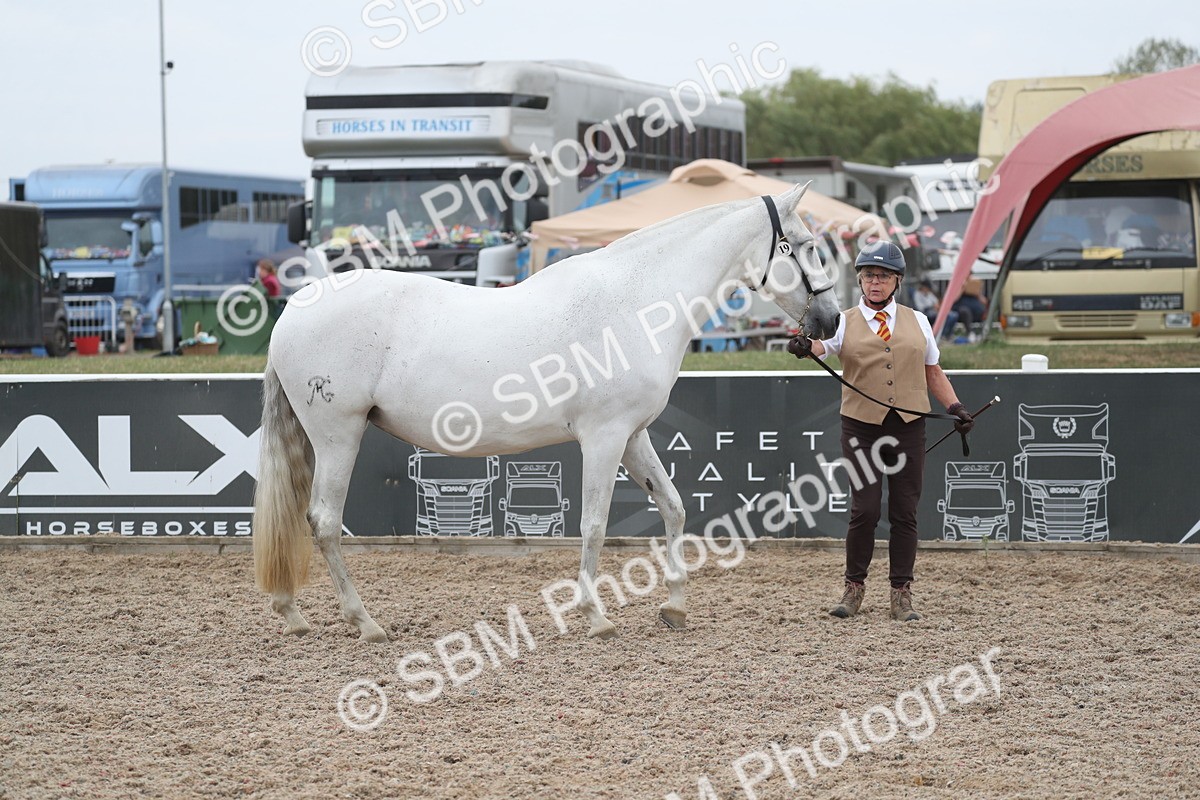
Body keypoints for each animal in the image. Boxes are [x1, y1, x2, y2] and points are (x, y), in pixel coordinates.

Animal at [252, 184, 841, 642]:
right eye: (808, 246)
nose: (831, 320)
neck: (634, 303)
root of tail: (294, 312)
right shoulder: (604, 438)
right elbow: (595, 525)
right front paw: (596, 616)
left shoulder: (633, 436)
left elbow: (673, 507)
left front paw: (674, 605)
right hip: (338, 436)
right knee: (324, 522)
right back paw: (365, 622)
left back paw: (293, 613)